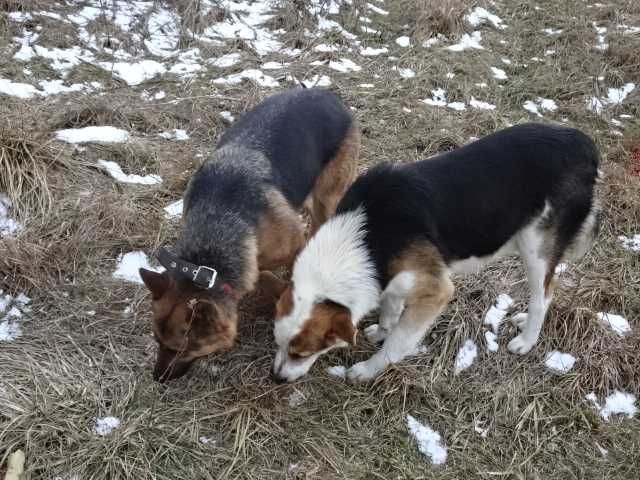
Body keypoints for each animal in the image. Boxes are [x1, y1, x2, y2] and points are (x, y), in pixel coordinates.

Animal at [140, 87, 360, 382]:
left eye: (180, 349)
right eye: (156, 340)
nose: (157, 378)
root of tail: (325, 93)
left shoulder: (291, 244)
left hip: (326, 198)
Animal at [274, 124, 600, 382]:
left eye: (301, 353)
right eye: (277, 343)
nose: (277, 379)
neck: (364, 235)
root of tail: (584, 143)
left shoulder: (435, 291)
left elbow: (397, 342)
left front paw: (368, 369)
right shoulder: (392, 277)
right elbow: (390, 308)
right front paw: (382, 330)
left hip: (535, 247)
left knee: (543, 295)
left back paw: (527, 340)